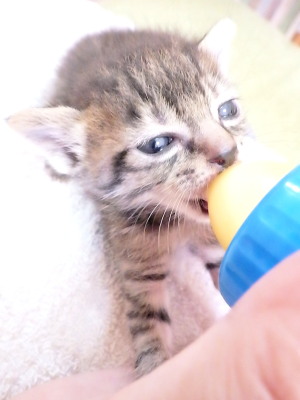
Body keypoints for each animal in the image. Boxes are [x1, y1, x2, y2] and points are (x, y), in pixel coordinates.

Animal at [8, 19, 253, 378]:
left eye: (228, 110)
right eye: (158, 145)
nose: (228, 152)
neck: (178, 223)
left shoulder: (215, 245)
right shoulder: (137, 265)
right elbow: (148, 318)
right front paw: (155, 366)